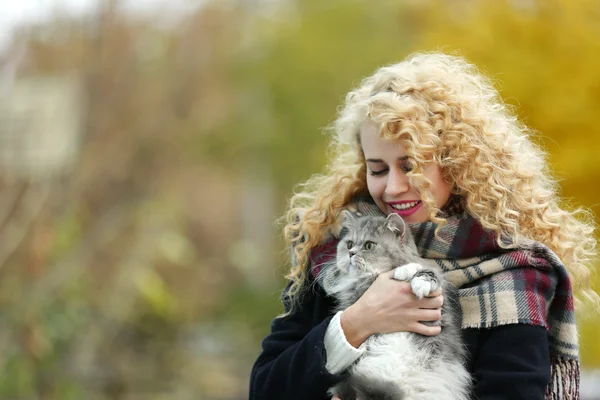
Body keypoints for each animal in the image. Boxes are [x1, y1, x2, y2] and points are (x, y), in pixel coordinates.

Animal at [318, 212, 474, 400]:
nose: (351, 253)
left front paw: (411, 277)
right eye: (349, 244)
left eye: (369, 245)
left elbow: (425, 270)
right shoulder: (355, 295)